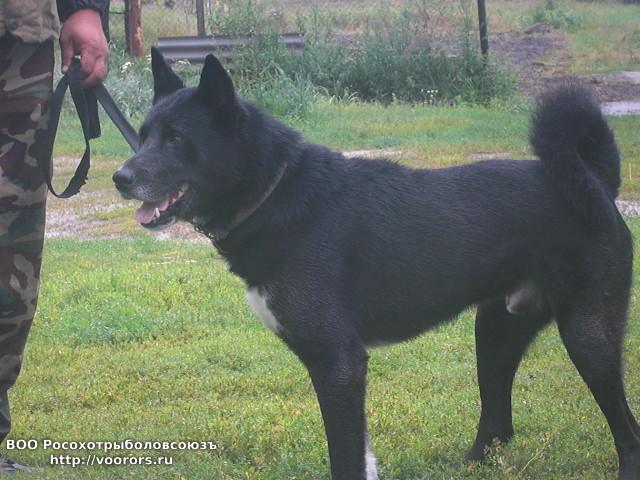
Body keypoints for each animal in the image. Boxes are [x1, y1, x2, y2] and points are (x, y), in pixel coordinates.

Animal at [113, 48, 639, 480]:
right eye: (143, 136)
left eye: (177, 138)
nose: (120, 177)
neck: (275, 193)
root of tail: (595, 181)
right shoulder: (340, 369)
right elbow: (361, 457)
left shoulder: (338, 363)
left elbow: (346, 458)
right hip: (495, 332)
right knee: (498, 423)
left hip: (588, 337)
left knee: (626, 430)